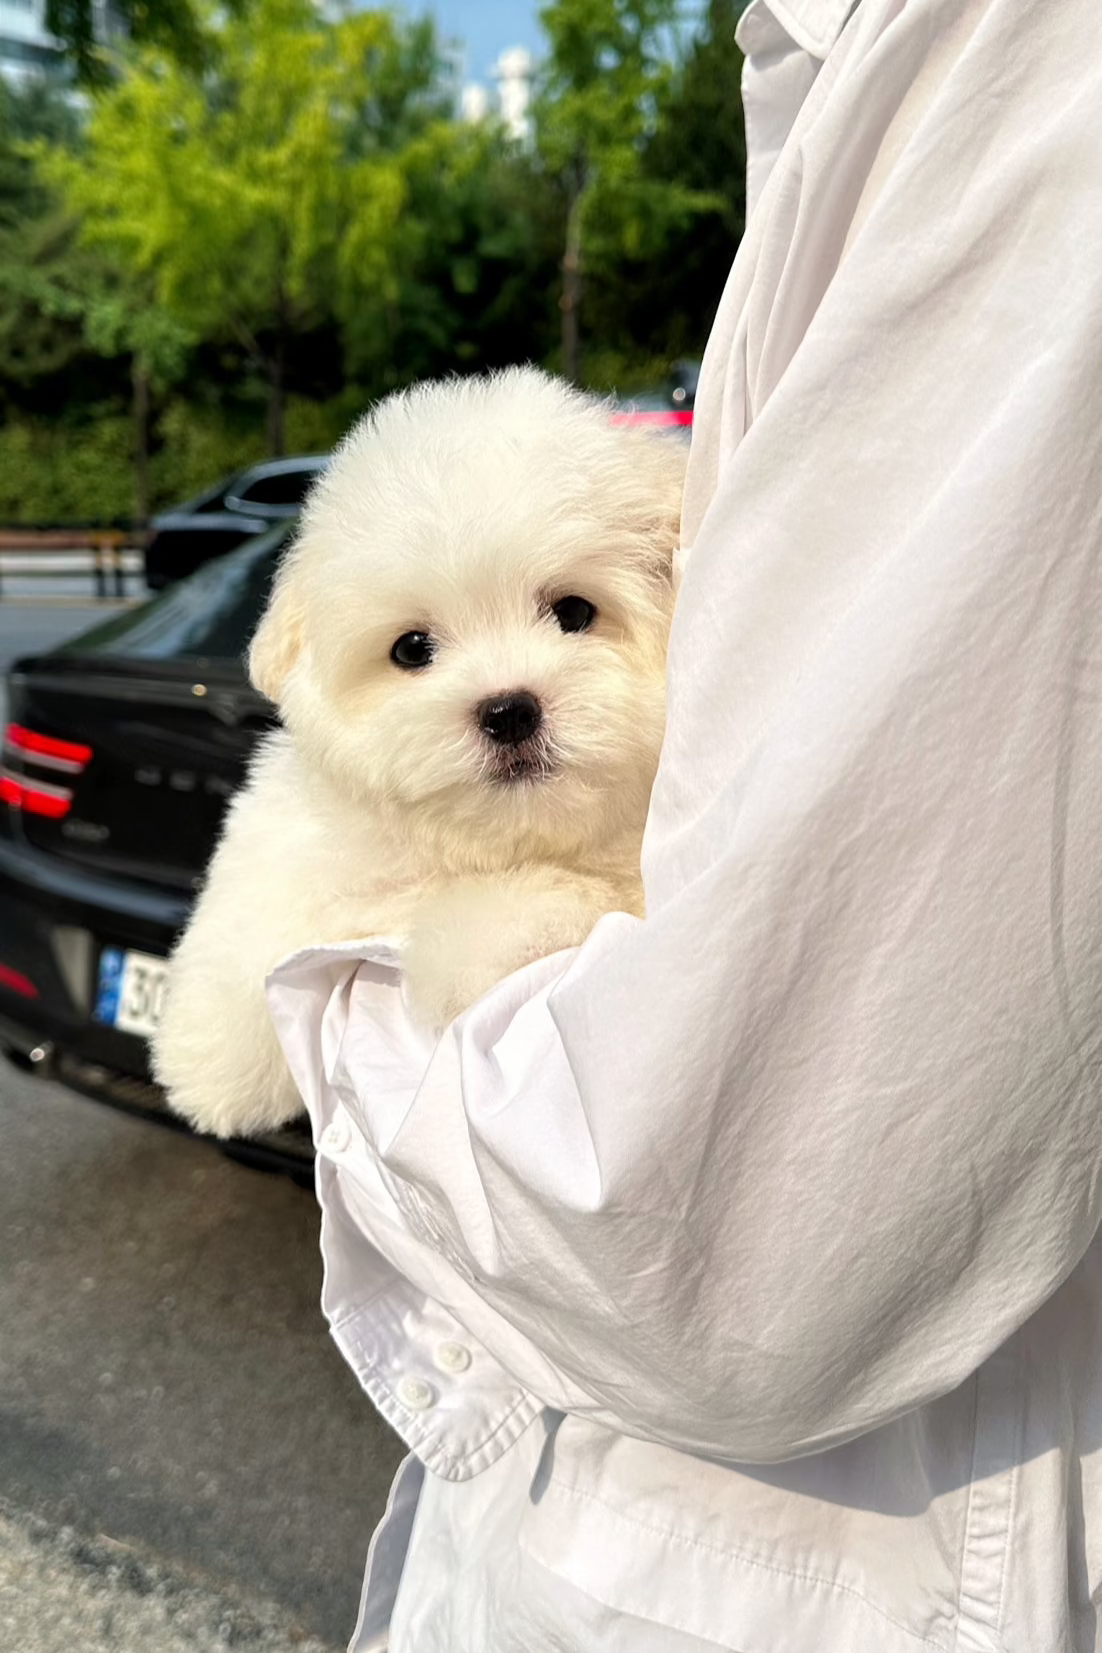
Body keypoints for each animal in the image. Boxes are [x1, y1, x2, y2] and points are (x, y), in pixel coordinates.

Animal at [151, 368, 684, 1137]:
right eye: (412, 649)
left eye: (575, 612)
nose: (509, 710)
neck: (476, 846)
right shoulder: (296, 830)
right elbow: (251, 917)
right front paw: (210, 1062)